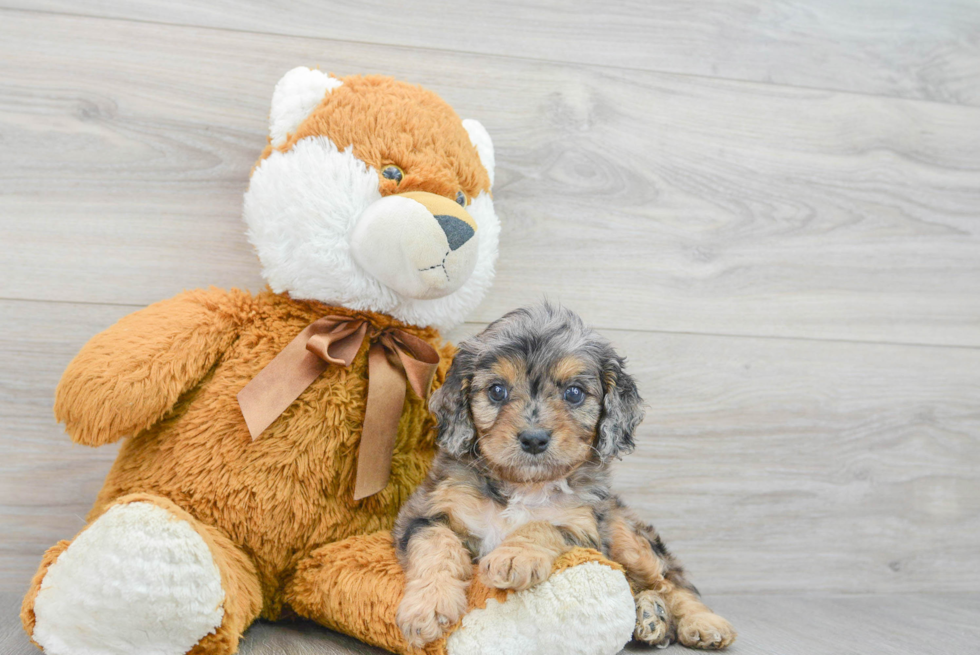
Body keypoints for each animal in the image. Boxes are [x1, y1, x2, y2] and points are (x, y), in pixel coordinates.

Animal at [394, 304, 732, 652]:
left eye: (574, 393)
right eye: (497, 391)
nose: (533, 439)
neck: (525, 487)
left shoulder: (584, 528)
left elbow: (544, 526)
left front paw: (514, 556)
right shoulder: (427, 512)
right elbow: (436, 545)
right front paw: (428, 607)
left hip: (628, 537)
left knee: (671, 580)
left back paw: (700, 622)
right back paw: (651, 618)